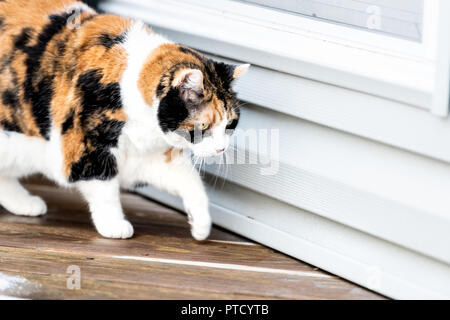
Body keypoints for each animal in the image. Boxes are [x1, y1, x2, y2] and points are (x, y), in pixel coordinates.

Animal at [0, 0, 250, 240]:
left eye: (230, 124)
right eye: (204, 126)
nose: (221, 149)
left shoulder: (147, 156)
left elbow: (190, 181)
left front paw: (201, 226)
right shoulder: (86, 146)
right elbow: (104, 188)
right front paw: (114, 225)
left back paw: (24, 203)